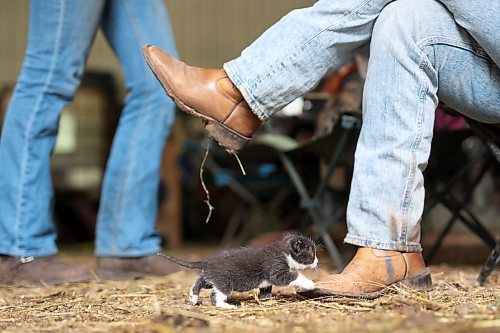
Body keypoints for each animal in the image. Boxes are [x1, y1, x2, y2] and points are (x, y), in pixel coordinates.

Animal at [158, 232, 318, 308]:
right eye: (312, 254)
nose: (317, 261)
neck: (283, 250)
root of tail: (208, 262)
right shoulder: (277, 272)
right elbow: (295, 275)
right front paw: (310, 284)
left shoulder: (267, 281)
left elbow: (266, 290)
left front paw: (266, 300)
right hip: (225, 283)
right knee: (215, 296)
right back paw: (226, 306)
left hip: (212, 279)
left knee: (199, 281)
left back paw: (193, 297)